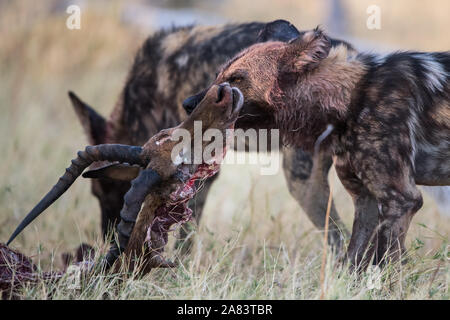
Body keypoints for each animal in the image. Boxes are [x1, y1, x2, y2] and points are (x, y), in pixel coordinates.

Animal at [183, 26, 450, 268]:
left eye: (237, 79)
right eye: (218, 75)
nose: (188, 104)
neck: (349, 97)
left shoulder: (400, 200)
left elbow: (384, 267)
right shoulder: (366, 201)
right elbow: (352, 263)